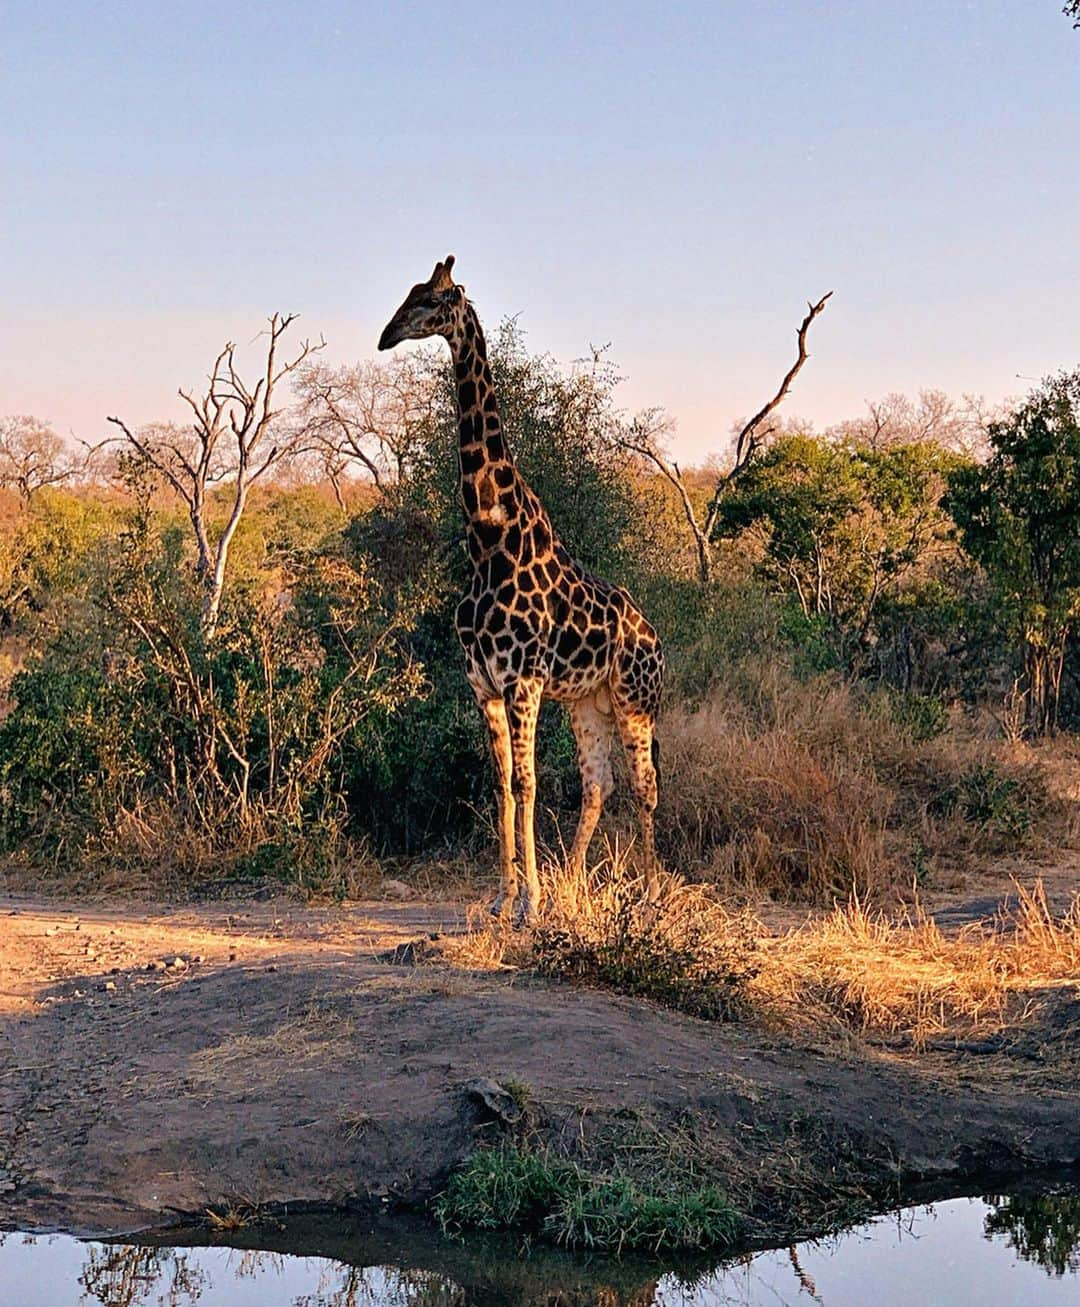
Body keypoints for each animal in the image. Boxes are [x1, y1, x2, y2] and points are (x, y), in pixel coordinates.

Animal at [379, 254, 664, 925]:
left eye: (434, 299)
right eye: (408, 293)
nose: (386, 336)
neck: (489, 541)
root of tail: (657, 638)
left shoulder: (523, 679)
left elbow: (528, 782)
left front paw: (528, 903)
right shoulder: (483, 682)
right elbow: (502, 784)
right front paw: (505, 897)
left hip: (636, 699)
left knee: (646, 787)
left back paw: (648, 892)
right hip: (588, 702)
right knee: (599, 782)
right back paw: (573, 884)